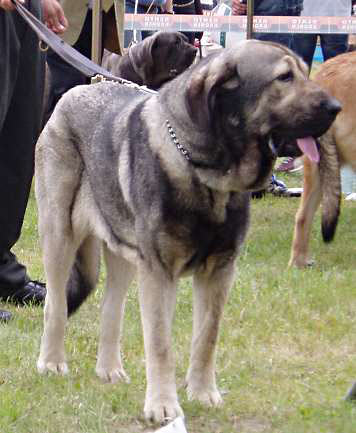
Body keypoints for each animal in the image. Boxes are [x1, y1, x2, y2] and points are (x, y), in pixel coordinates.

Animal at [35, 39, 340, 422]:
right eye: (284, 78)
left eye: (304, 71)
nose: (336, 108)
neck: (209, 174)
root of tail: (73, 93)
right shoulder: (158, 272)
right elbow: (160, 343)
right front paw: (163, 405)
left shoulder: (218, 270)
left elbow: (206, 337)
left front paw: (203, 393)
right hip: (60, 234)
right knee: (56, 303)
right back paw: (51, 362)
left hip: (124, 254)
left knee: (111, 308)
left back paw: (109, 370)